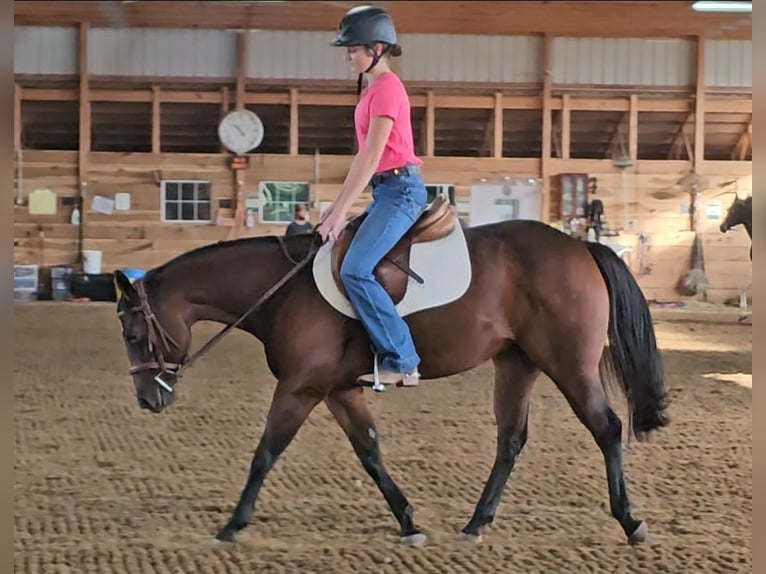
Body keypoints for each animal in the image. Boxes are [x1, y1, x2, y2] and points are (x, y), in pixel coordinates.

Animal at [113, 214, 669, 548]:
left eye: (134, 333)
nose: (146, 399)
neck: (283, 290)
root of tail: (579, 246)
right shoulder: (337, 389)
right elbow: (370, 450)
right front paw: (408, 522)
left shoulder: (299, 388)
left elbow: (266, 452)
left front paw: (233, 524)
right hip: (517, 363)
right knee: (511, 439)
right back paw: (475, 524)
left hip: (568, 364)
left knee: (606, 428)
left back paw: (631, 521)